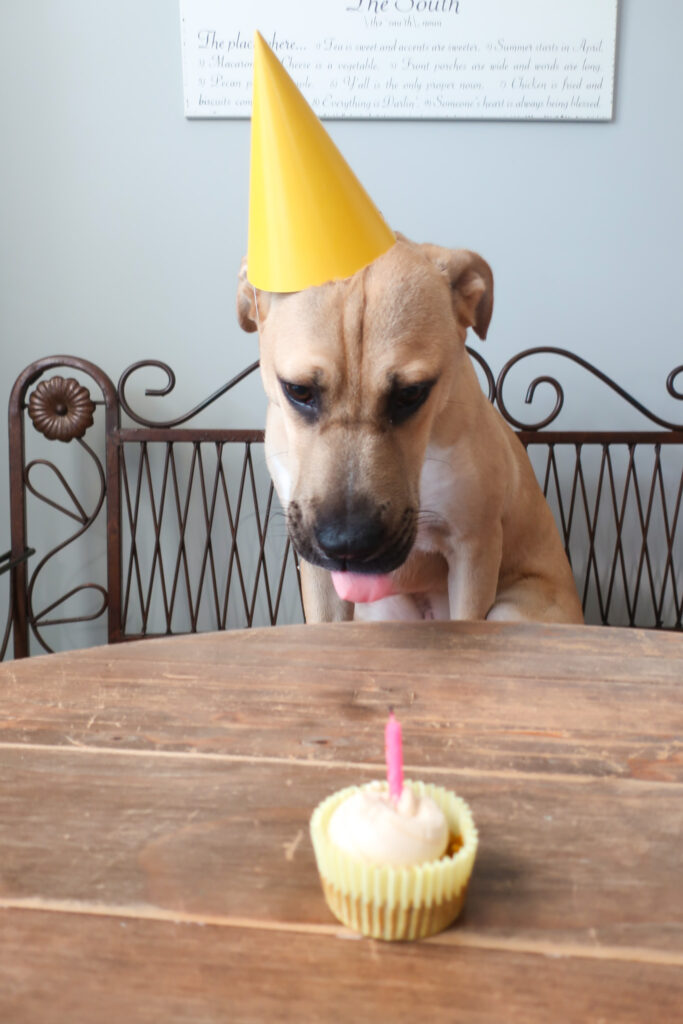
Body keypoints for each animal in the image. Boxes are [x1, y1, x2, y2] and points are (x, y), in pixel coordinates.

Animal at [237, 236, 585, 626]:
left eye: (411, 393)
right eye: (298, 390)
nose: (347, 544)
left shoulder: (474, 547)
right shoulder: (318, 569)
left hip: (512, 609)